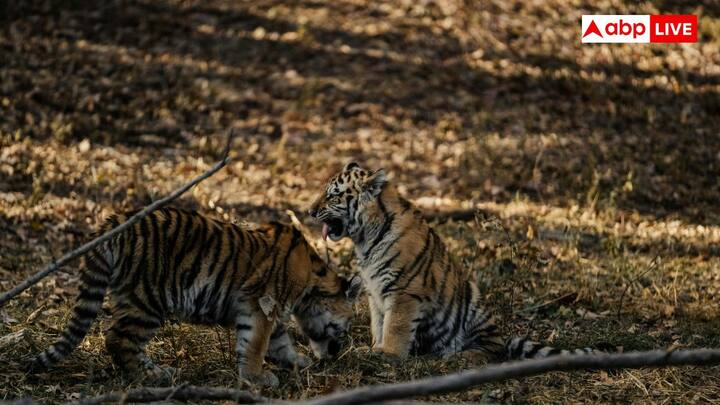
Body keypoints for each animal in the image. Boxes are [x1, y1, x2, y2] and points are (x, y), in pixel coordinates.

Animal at [30, 207, 361, 387]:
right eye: (343, 328)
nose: (335, 353)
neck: (310, 282)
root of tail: (115, 221)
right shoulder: (261, 305)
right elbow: (255, 344)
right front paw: (257, 377)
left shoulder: (271, 313)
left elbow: (279, 343)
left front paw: (296, 362)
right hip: (148, 298)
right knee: (118, 338)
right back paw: (148, 377)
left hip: (133, 298)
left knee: (124, 339)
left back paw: (158, 371)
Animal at [308, 162, 603, 360]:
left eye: (333, 195)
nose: (309, 211)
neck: (364, 240)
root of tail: (502, 335)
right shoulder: (374, 292)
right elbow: (379, 324)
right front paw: (373, 348)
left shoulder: (403, 292)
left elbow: (395, 326)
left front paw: (388, 354)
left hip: (474, 299)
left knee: (491, 350)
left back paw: (461, 357)